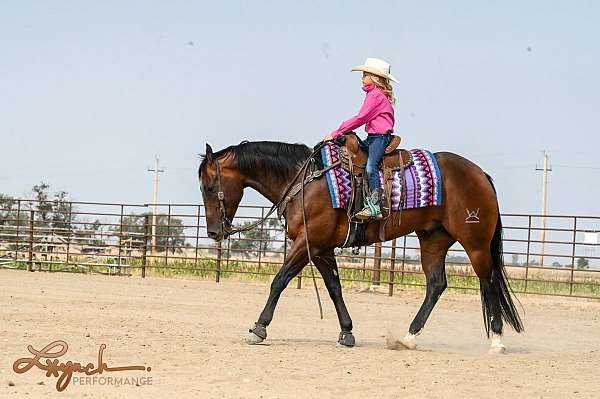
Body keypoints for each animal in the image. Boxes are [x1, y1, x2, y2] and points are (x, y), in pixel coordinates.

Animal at [198, 140, 520, 354]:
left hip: (475, 243)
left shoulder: (308, 243)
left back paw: (497, 341)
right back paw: (409, 337)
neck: (305, 182)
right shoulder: (321, 249)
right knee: (436, 285)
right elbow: (334, 288)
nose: (214, 232)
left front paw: (259, 328)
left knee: (489, 281)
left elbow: (280, 280)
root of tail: (480, 174)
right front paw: (347, 332)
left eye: (209, 187)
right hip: (433, 240)